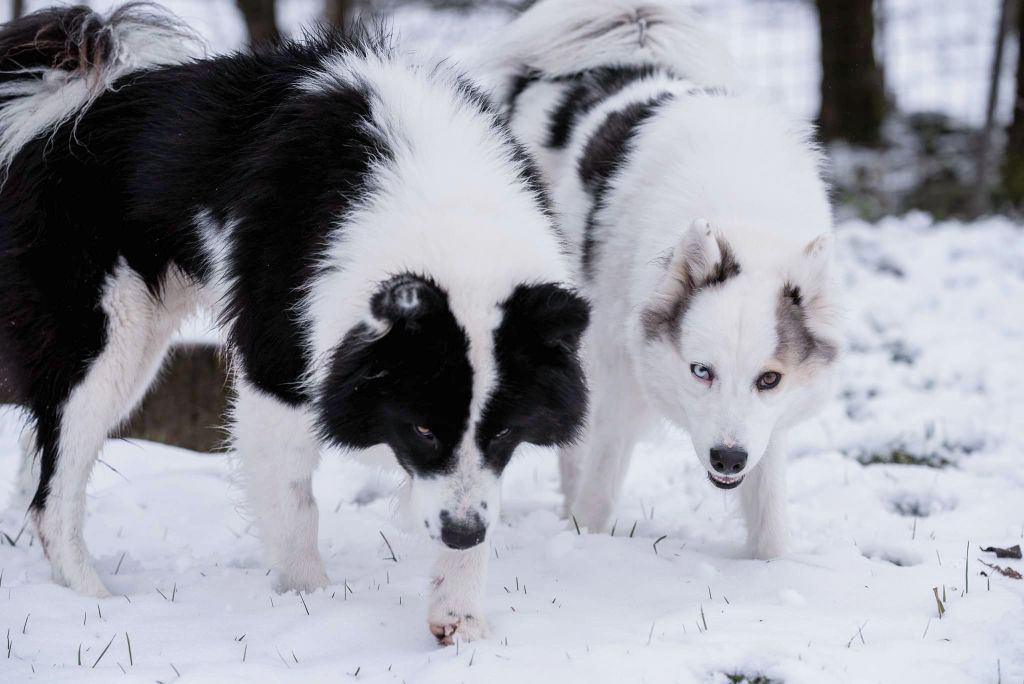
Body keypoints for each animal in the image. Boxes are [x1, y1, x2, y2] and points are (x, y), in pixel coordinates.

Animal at [0, 3, 589, 643]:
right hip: (107, 341)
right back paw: (95, 602)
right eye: (424, 428)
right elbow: (295, 507)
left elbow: (471, 495)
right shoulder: (276, 375)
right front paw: (314, 607)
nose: (463, 533)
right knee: (53, 494)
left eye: (505, 432)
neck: (447, 217)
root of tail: (75, 87)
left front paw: (460, 621)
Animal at [489, 0, 839, 557]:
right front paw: (583, 543)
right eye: (701, 371)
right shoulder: (619, 375)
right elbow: (600, 476)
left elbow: (768, 511)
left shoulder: (768, 427)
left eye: (769, 379)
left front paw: (772, 567)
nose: (728, 459)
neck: (739, 213)